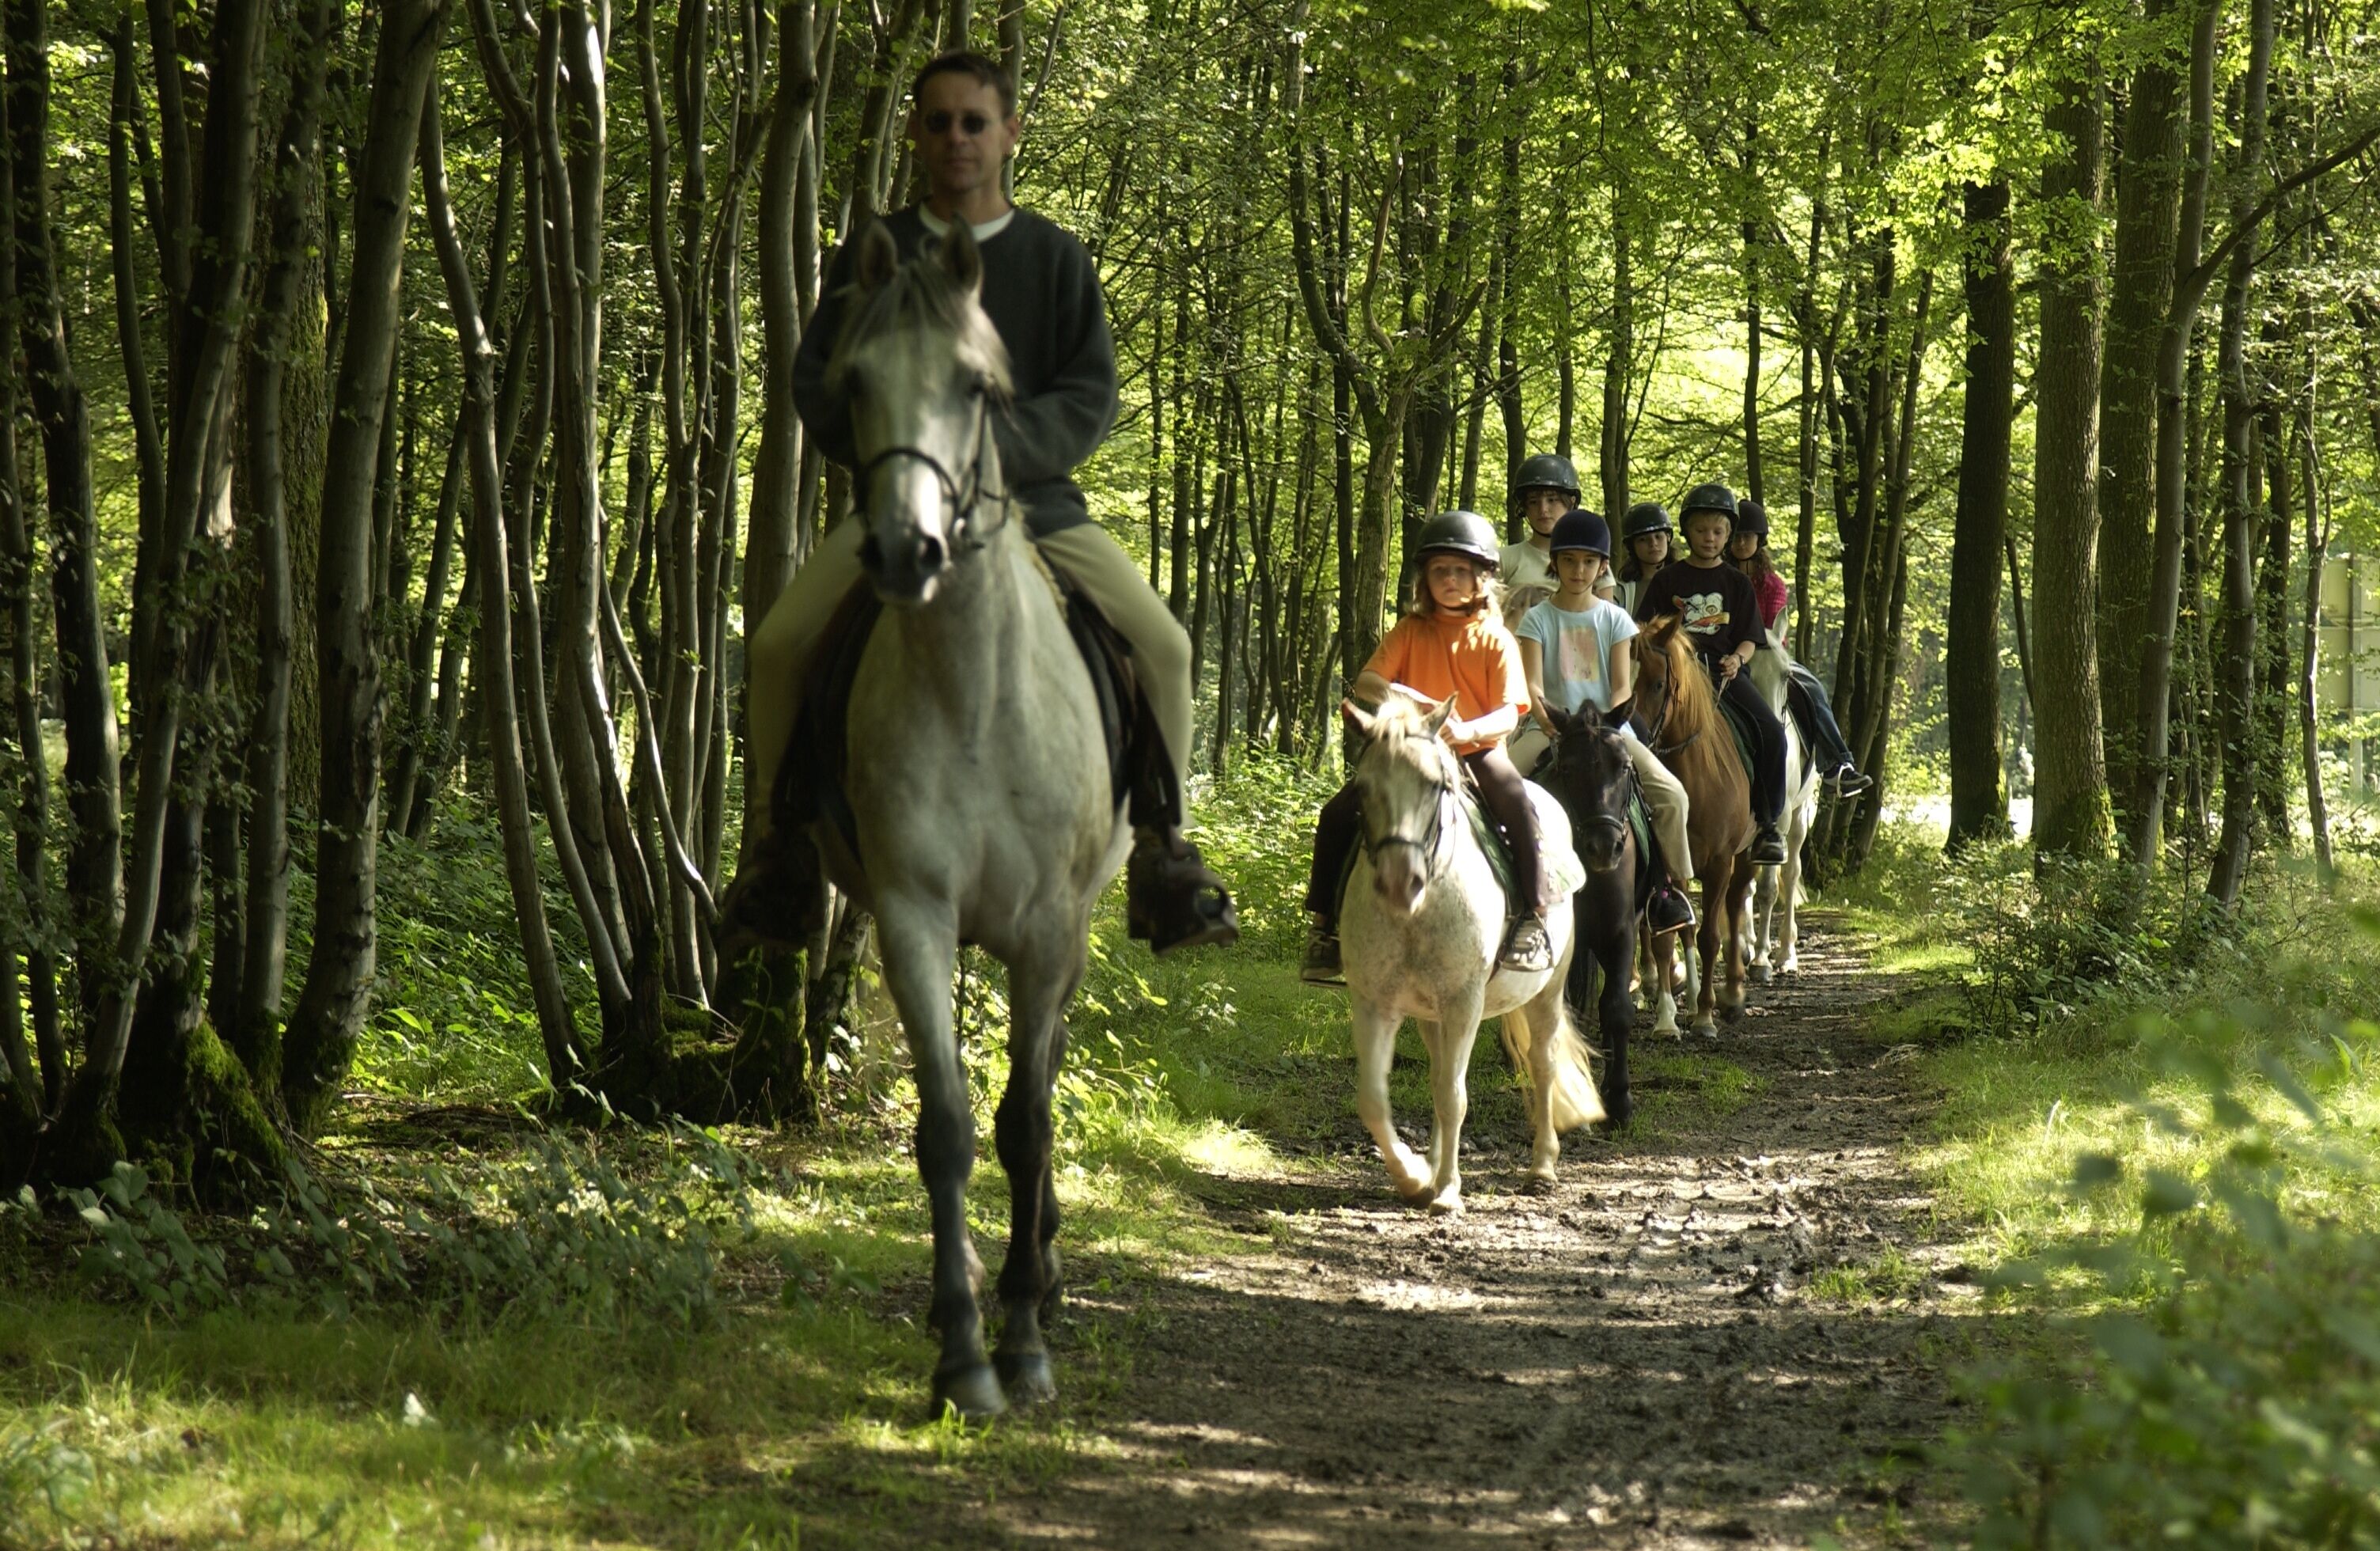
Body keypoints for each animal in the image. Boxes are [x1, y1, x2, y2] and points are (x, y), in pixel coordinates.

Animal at [814, 221, 1125, 1421]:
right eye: (852, 381)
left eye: (976, 387)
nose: (907, 554)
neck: (976, 698)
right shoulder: (912, 913)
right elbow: (948, 1128)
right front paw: (962, 1353)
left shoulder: (1047, 929)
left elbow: (1028, 1123)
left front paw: (1027, 1337)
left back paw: (1045, 1262)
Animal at [1339, 696, 1603, 1210]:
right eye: (1362, 787)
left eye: (1435, 785)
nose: (1401, 883)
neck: (1420, 910)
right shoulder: (1375, 1002)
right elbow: (1375, 1099)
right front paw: (1415, 1176)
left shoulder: (1464, 1001)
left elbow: (1454, 1097)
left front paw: (1446, 1191)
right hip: (1431, 1014)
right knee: (1440, 1073)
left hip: (1546, 992)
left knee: (1542, 1065)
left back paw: (1542, 1168)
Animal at [1534, 703, 1645, 1126]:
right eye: (1567, 768)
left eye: (1625, 766)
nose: (1604, 847)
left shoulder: (1620, 933)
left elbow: (1616, 1009)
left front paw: (1620, 1099)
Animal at [1630, 618, 1755, 1037]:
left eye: (1657, 684)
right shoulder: (1670, 864)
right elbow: (1669, 936)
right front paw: (1667, 1019)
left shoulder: (1718, 863)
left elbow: (1710, 936)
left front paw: (1705, 1017)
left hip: (1747, 855)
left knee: (1735, 905)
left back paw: (1731, 993)